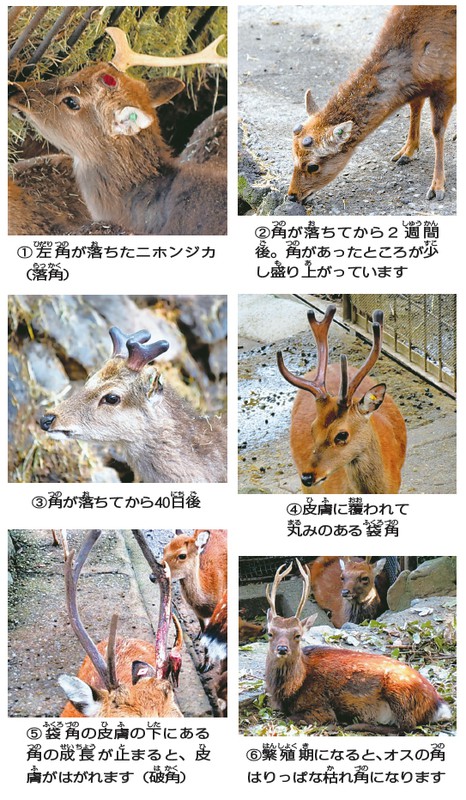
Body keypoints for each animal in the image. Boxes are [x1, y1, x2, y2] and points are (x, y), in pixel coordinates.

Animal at [265, 560, 451, 732]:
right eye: (270, 633)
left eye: (297, 635)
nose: (282, 649)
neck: (291, 690)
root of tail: (439, 705)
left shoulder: (321, 707)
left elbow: (290, 718)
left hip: (398, 690)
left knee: (406, 726)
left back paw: (356, 725)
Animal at [288, 6, 456, 204]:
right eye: (293, 155)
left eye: (313, 166)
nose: (291, 195)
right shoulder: (419, 89)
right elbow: (415, 106)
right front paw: (406, 152)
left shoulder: (448, 83)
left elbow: (437, 131)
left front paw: (437, 187)